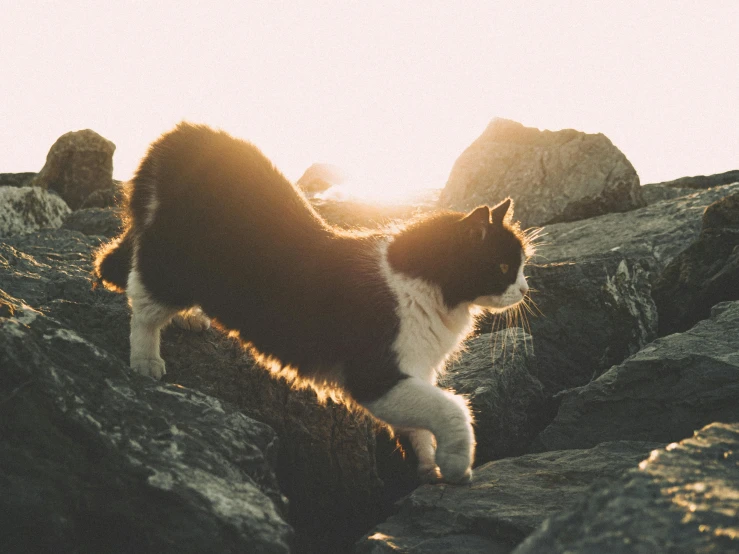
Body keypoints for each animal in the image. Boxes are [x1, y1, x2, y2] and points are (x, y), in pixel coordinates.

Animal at [94, 122, 532, 484]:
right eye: (504, 265)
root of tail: (182, 134)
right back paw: (146, 360)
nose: (525, 289)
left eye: (523, 264)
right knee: (142, 304)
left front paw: (428, 470)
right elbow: (452, 409)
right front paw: (457, 463)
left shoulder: (414, 371)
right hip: (171, 266)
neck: (426, 289)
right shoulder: (376, 375)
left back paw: (191, 319)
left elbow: (420, 429)